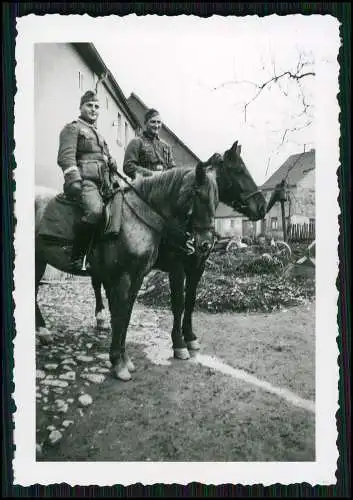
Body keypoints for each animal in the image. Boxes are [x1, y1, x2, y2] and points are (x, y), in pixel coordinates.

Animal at [35, 164, 217, 378]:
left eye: (216, 199)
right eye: (199, 195)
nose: (206, 244)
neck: (137, 219)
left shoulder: (137, 277)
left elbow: (127, 315)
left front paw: (125, 359)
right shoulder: (126, 277)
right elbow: (122, 314)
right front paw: (117, 362)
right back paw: (44, 331)